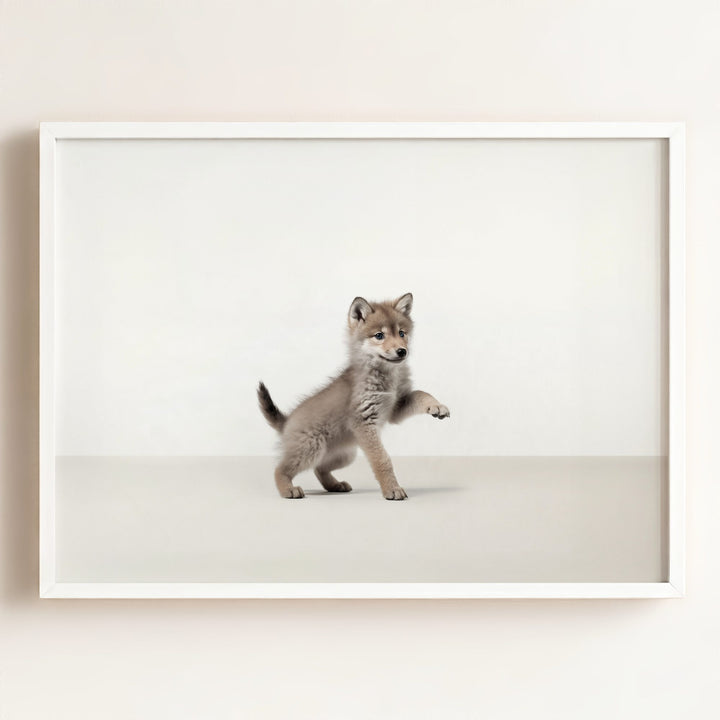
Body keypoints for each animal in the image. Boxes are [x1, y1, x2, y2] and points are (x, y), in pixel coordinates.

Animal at [257, 293, 449, 500]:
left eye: (401, 333)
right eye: (379, 335)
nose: (402, 351)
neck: (387, 376)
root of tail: (286, 421)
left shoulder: (396, 408)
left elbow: (421, 393)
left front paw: (437, 406)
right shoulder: (365, 422)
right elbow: (382, 460)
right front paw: (392, 489)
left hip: (344, 455)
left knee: (319, 469)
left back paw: (335, 485)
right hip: (311, 449)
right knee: (280, 469)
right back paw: (288, 489)